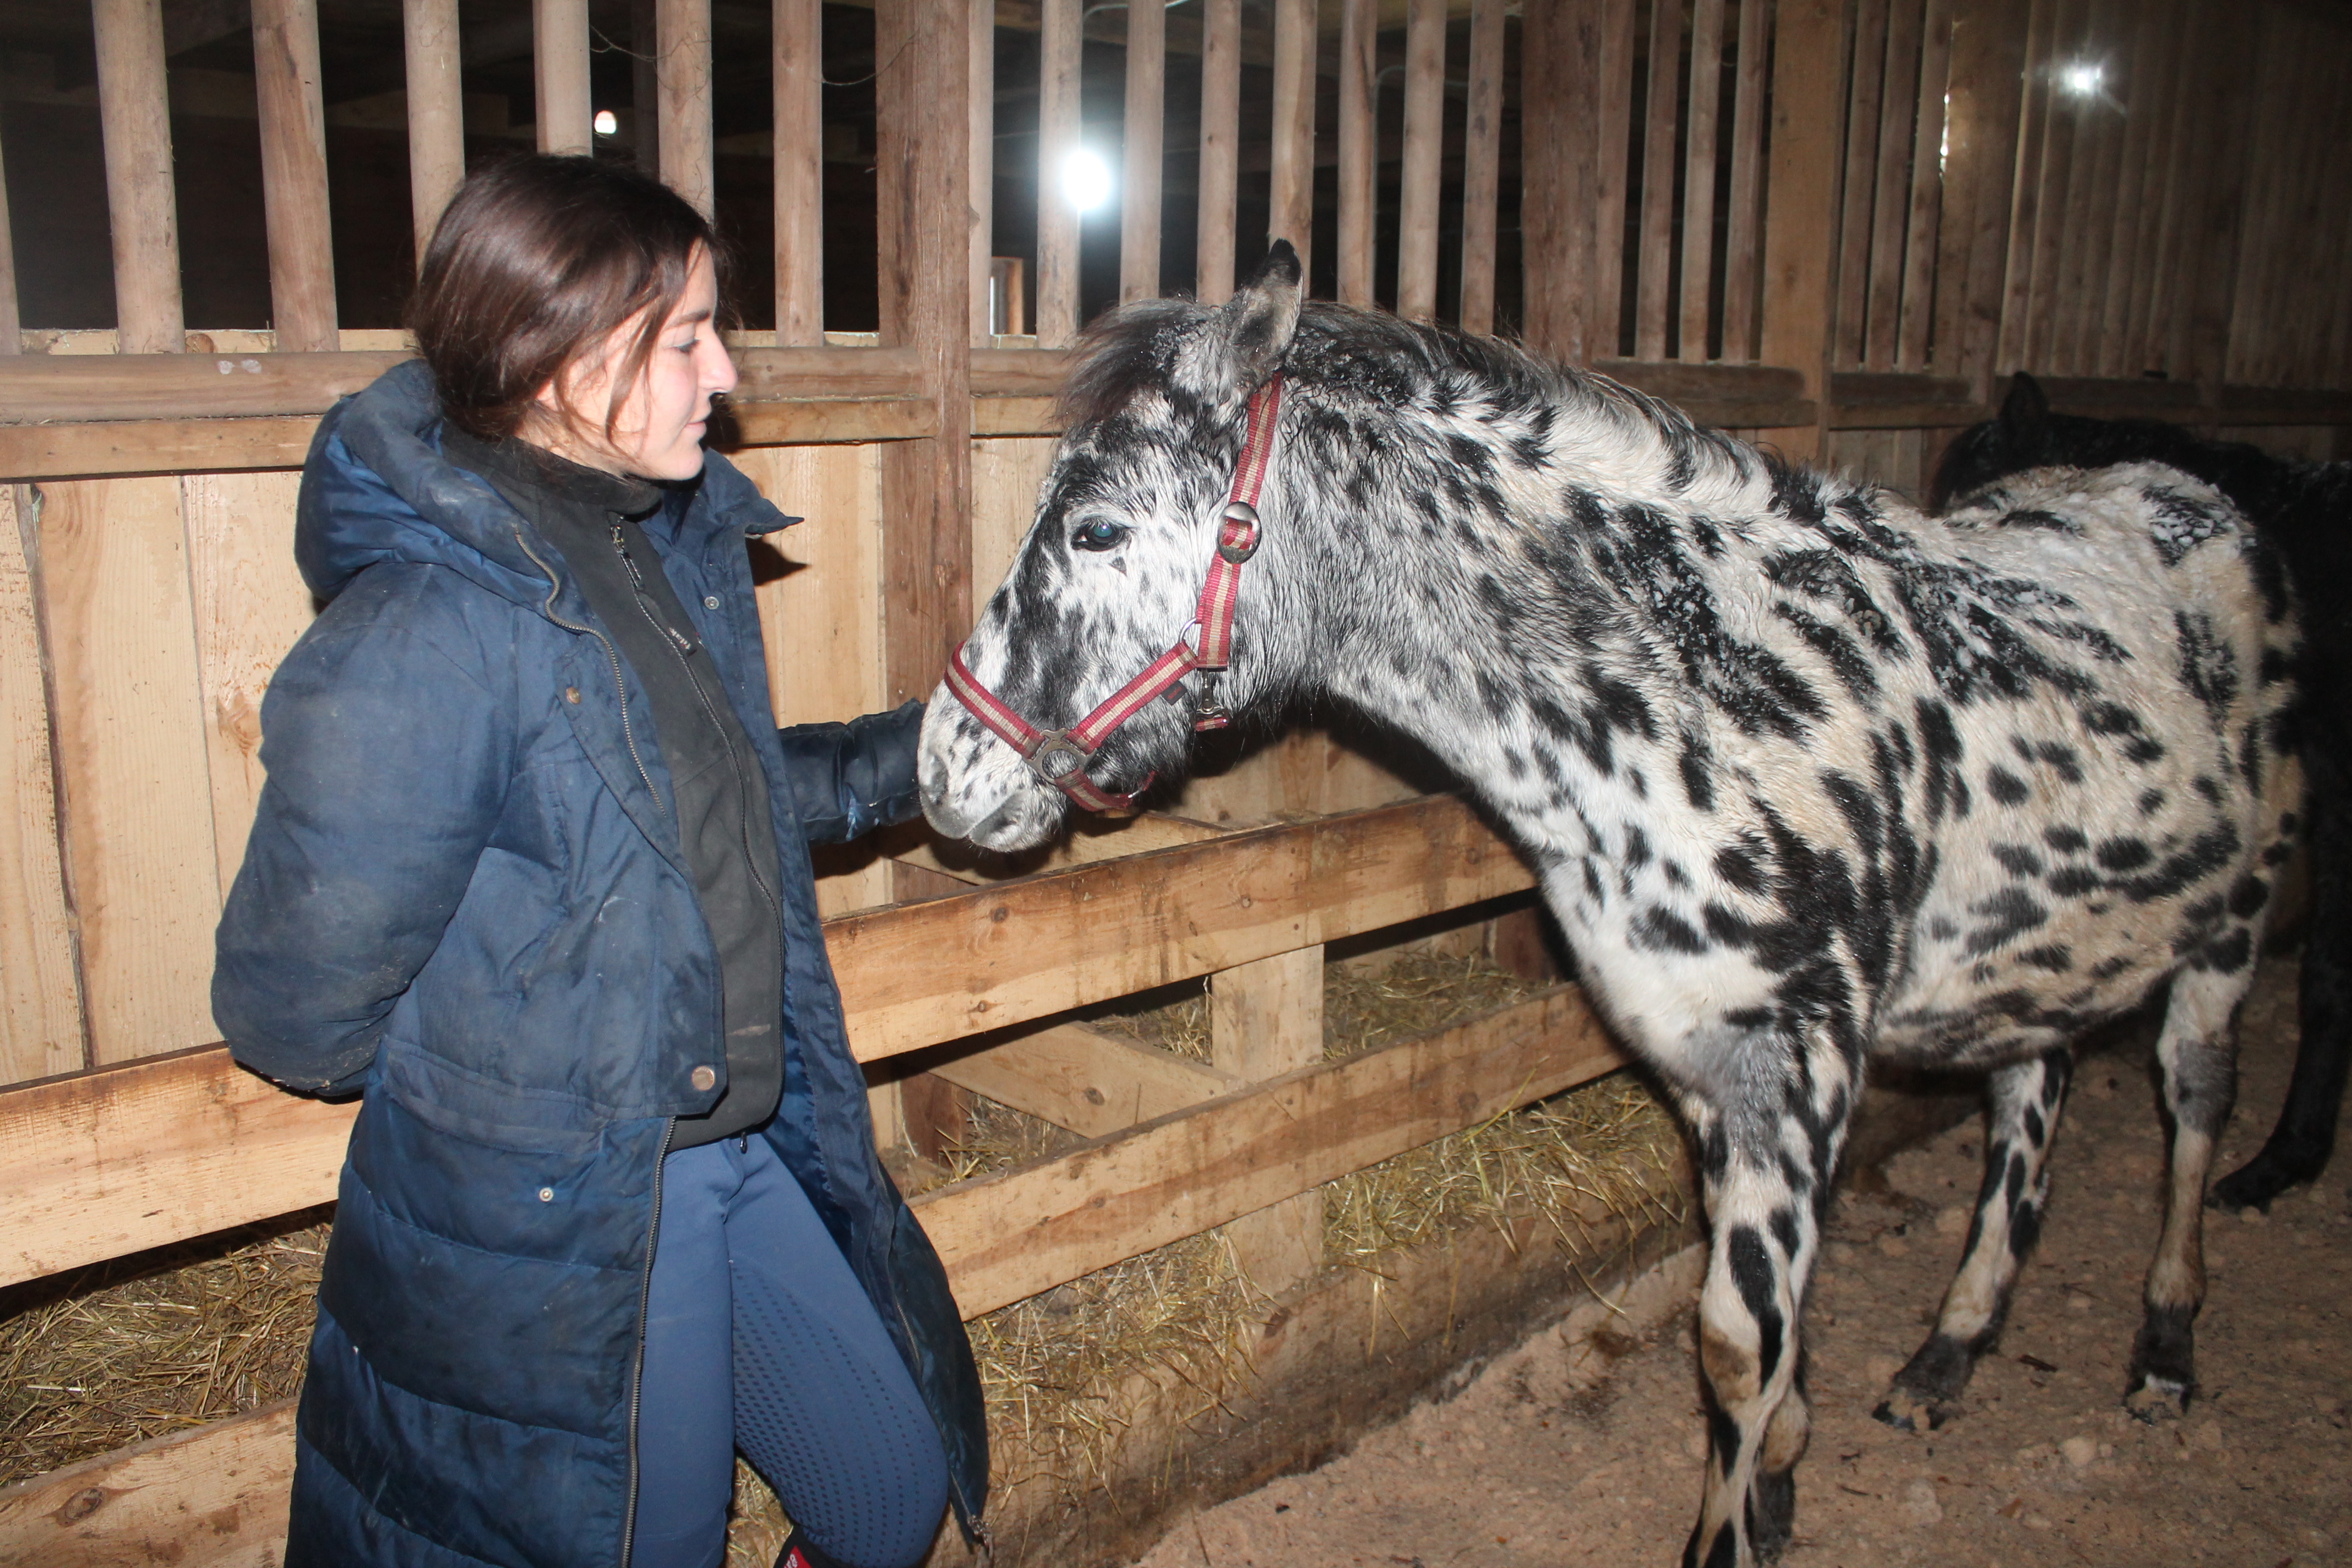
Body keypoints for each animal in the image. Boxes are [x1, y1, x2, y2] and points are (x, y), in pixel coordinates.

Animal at [912, 239, 2295, 1561]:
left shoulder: (1794, 1071)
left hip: (2228, 933)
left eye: (1094, 528)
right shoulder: (1708, 1075)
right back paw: (1946, 1355)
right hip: (2040, 956)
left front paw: (1737, 1519)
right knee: (2030, 1098)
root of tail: (2195, 504)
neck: (1721, 704)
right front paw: (1785, 1472)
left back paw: (2165, 1349)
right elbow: (1774, 1329)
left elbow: (1737, 1343)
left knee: (2195, 1102)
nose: (943, 768)